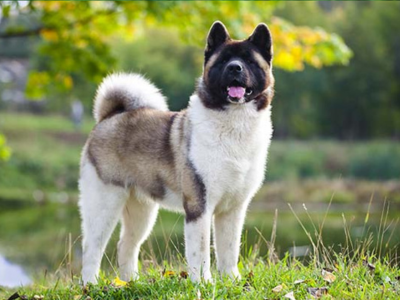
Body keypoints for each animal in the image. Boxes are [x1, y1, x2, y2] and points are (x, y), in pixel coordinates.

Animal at [79, 21, 276, 284]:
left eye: (249, 61)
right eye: (224, 60)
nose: (235, 67)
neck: (234, 123)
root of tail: (109, 117)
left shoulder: (233, 210)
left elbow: (229, 249)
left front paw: (232, 280)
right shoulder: (199, 206)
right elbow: (200, 252)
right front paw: (203, 283)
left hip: (142, 210)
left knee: (126, 245)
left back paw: (130, 283)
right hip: (104, 203)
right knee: (92, 247)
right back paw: (89, 285)